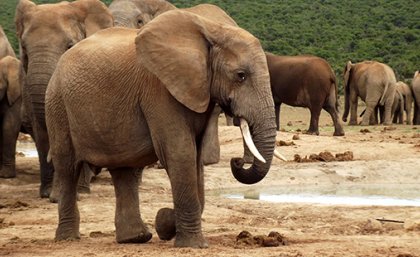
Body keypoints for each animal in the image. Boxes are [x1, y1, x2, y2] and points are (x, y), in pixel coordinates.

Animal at [46, 10, 278, 248]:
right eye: (241, 75)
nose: (237, 161)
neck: (211, 30)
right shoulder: (159, 89)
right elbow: (181, 153)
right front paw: (191, 243)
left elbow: (195, 157)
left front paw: (165, 223)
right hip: (57, 104)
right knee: (67, 166)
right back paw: (67, 238)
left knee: (123, 170)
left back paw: (136, 238)